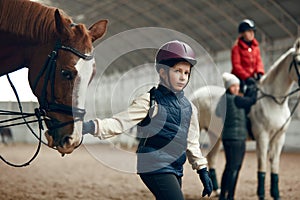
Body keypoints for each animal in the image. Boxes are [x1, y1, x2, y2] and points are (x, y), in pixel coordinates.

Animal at [191, 38, 300, 200]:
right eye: (298, 61)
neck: (273, 101)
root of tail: (194, 95)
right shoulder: (262, 137)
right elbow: (262, 165)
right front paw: (261, 194)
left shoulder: (279, 137)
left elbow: (275, 165)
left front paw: (276, 194)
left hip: (215, 136)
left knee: (211, 158)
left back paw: (216, 190)